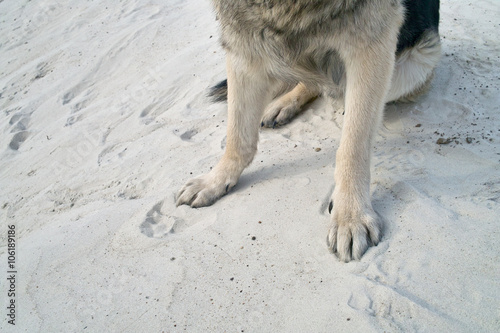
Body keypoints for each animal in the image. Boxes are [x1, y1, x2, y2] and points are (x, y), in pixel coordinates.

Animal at [176, 0, 442, 260]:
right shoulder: (242, 43)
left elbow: (353, 145)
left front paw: (350, 215)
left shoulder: (371, 46)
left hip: (416, 63)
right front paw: (215, 180)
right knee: (312, 80)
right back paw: (283, 104)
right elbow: (237, 135)